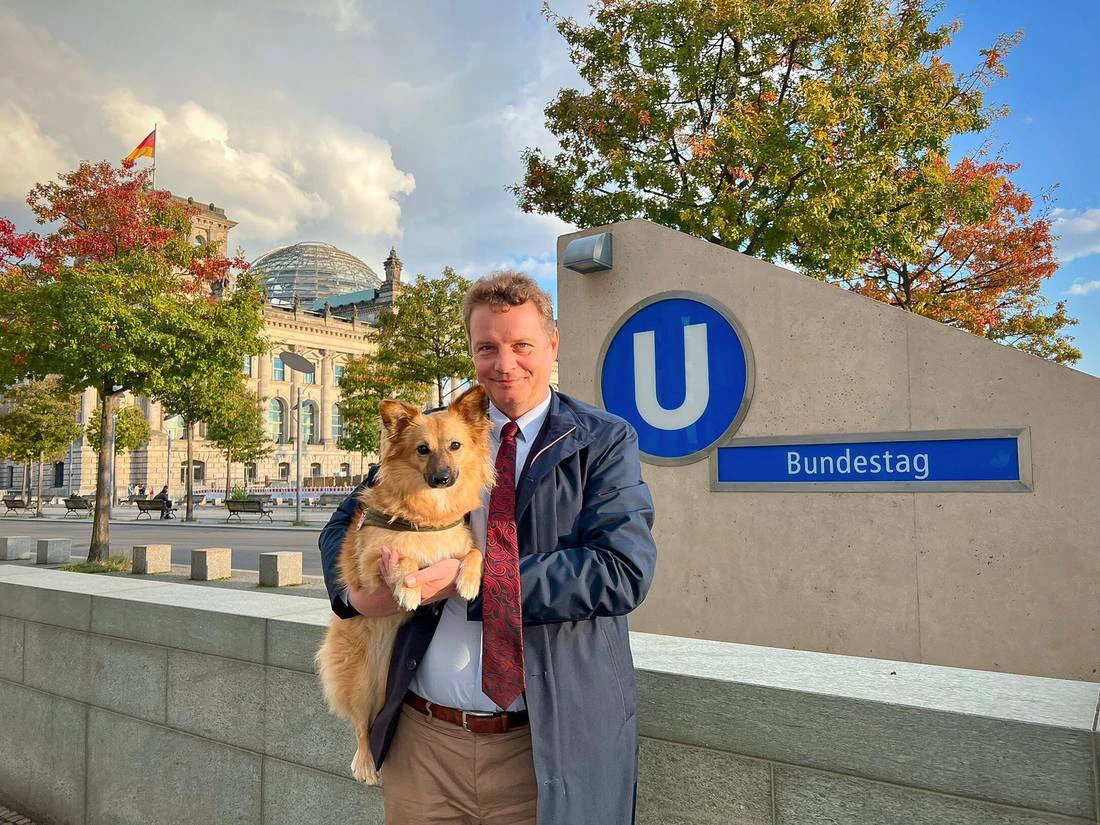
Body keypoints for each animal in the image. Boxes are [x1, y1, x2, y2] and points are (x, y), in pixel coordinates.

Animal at [314, 387, 495, 787]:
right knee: (360, 726)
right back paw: (366, 765)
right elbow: (403, 559)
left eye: (456, 445)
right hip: (361, 679)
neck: (428, 515)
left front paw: (469, 580)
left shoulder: (461, 542)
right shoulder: (369, 568)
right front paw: (409, 589)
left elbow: (475, 554)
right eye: (422, 449)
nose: (442, 478)